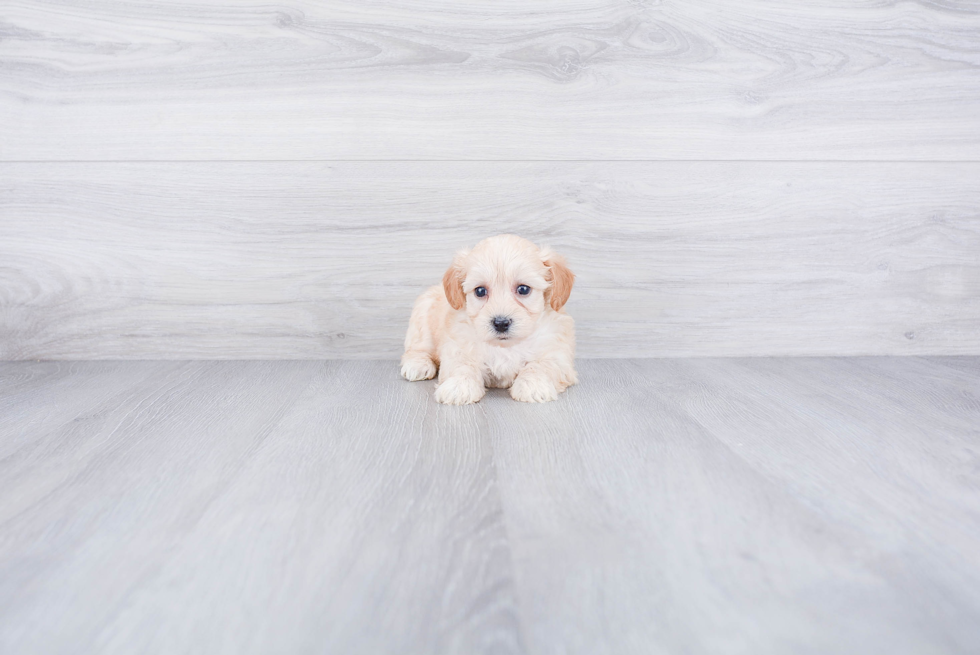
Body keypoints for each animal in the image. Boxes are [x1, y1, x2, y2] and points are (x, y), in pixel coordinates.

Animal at [402, 233, 580, 402]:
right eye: (480, 291)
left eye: (523, 289)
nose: (501, 323)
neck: (506, 347)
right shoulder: (457, 346)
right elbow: (462, 364)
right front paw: (458, 386)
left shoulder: (557, 353)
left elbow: (542, 365)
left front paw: (533, 385)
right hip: (422, 318)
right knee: (417, 349)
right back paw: (417, 364)